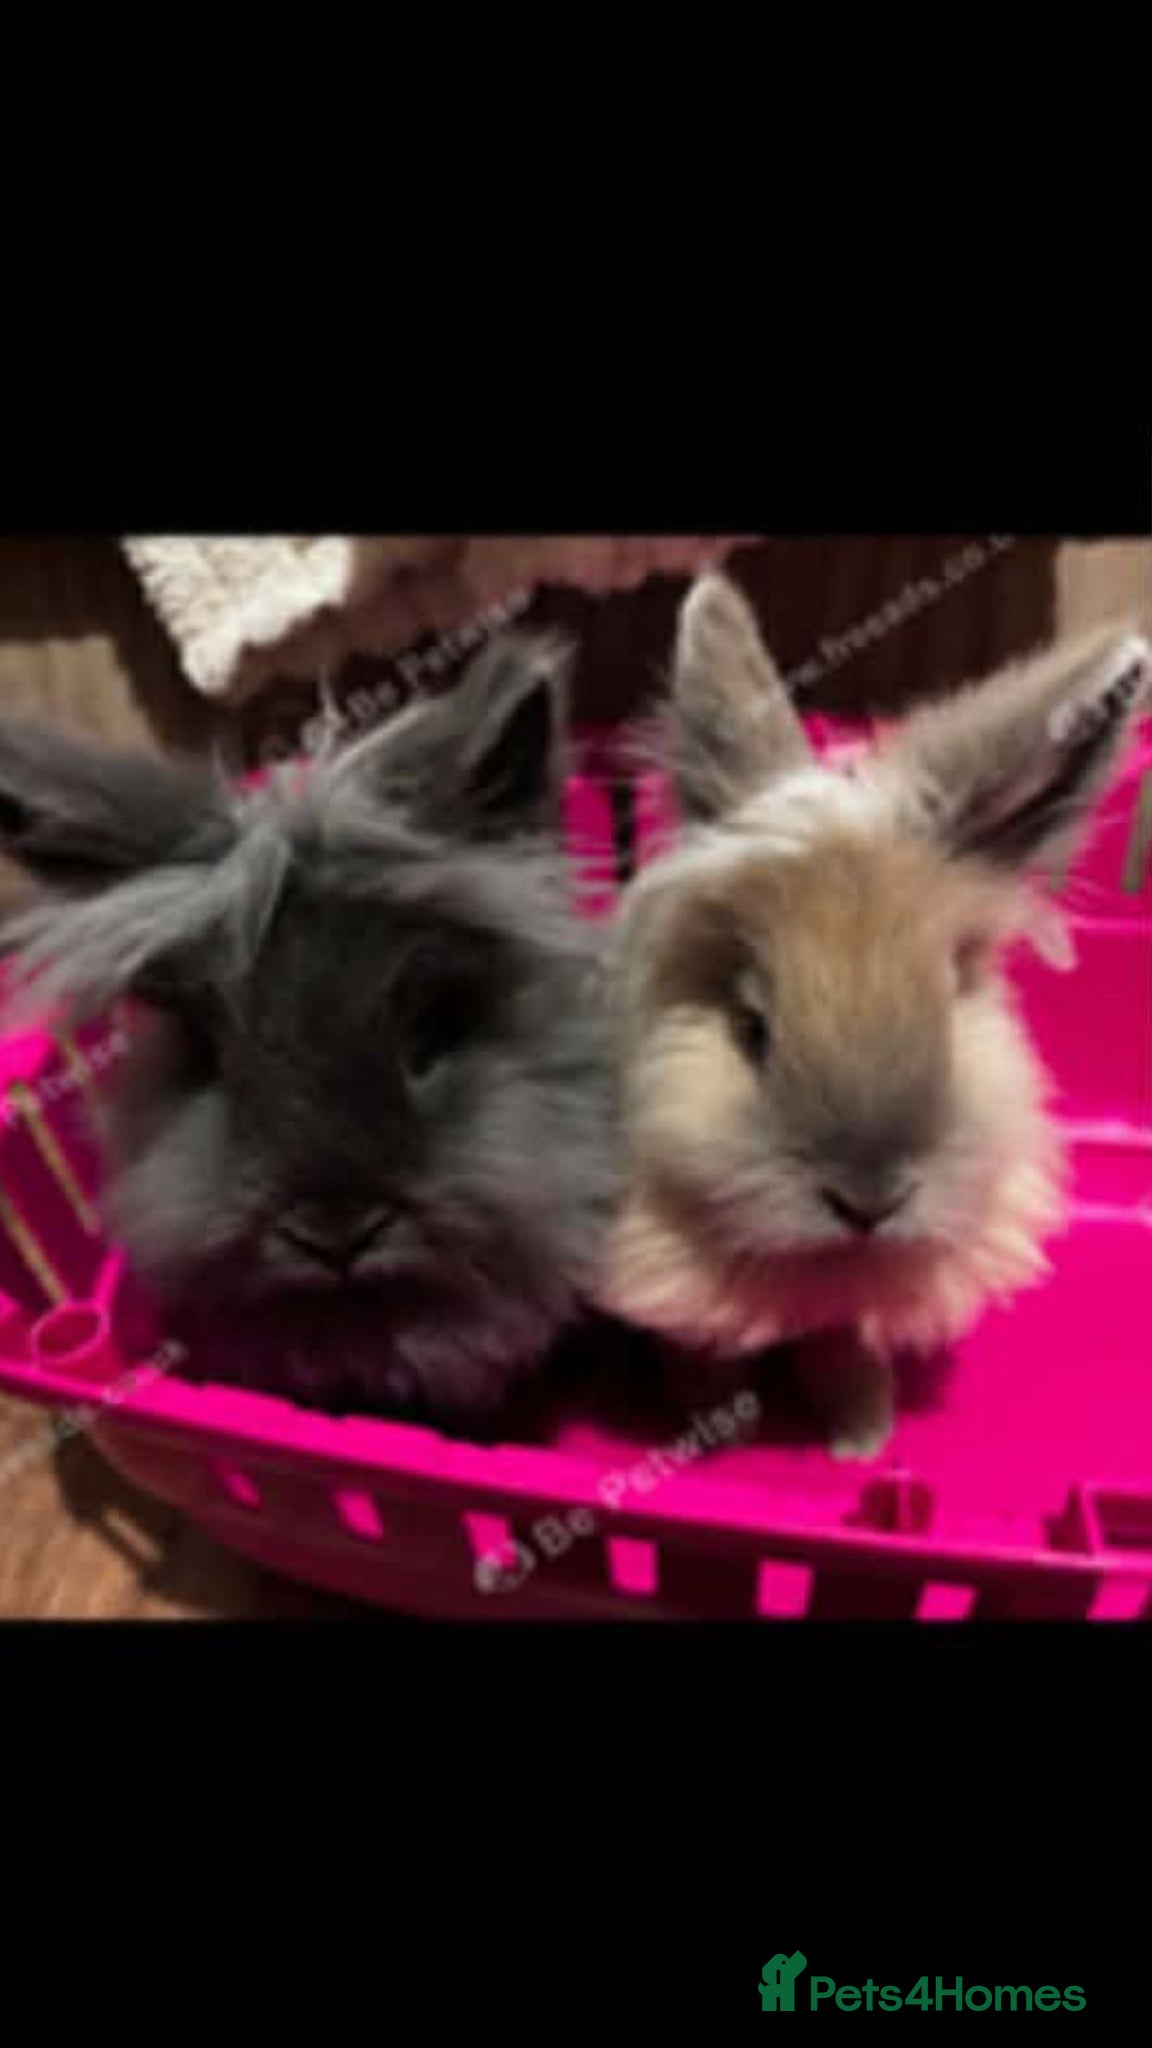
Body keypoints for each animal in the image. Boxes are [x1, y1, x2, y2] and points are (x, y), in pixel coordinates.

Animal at [599, 571, 1151, 1460]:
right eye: (752, 1028)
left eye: (953, 994)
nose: (868, 1200)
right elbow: (702, 1354)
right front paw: (704, 1431)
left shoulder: (853, 1311)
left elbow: (843, 1349)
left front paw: (864, 1435)